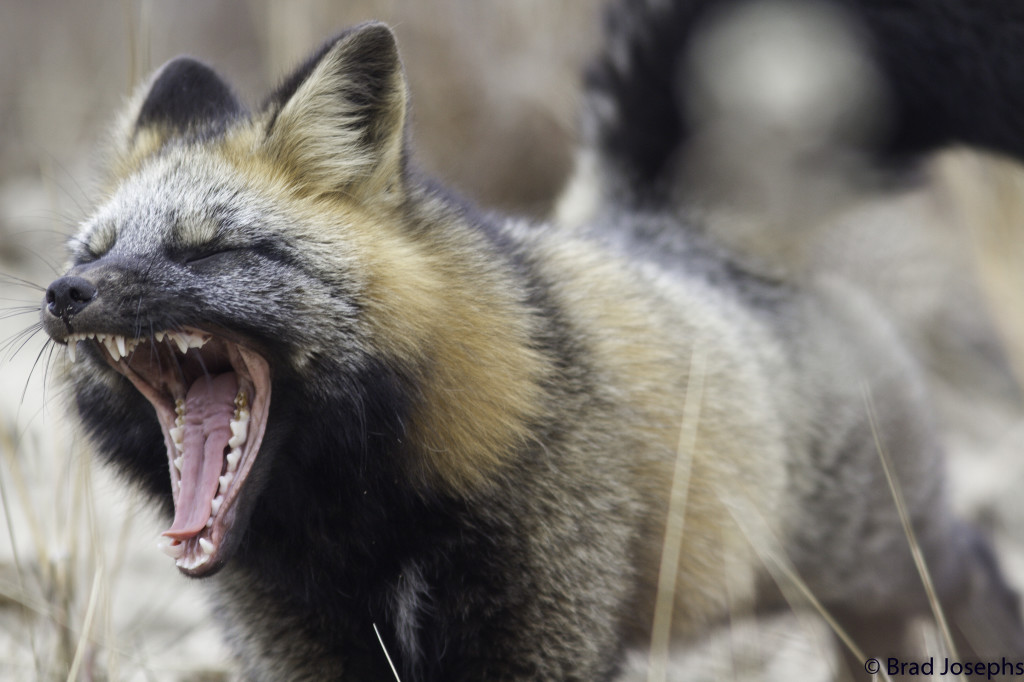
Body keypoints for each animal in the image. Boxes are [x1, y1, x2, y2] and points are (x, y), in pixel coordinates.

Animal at [36, 0, 1024, 679]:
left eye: (208, 250)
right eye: (95, 250)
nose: (63, 294)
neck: (360, 521)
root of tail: (668, 222)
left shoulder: (542, 631)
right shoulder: (304, 648)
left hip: (872, 558)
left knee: (971, 569)